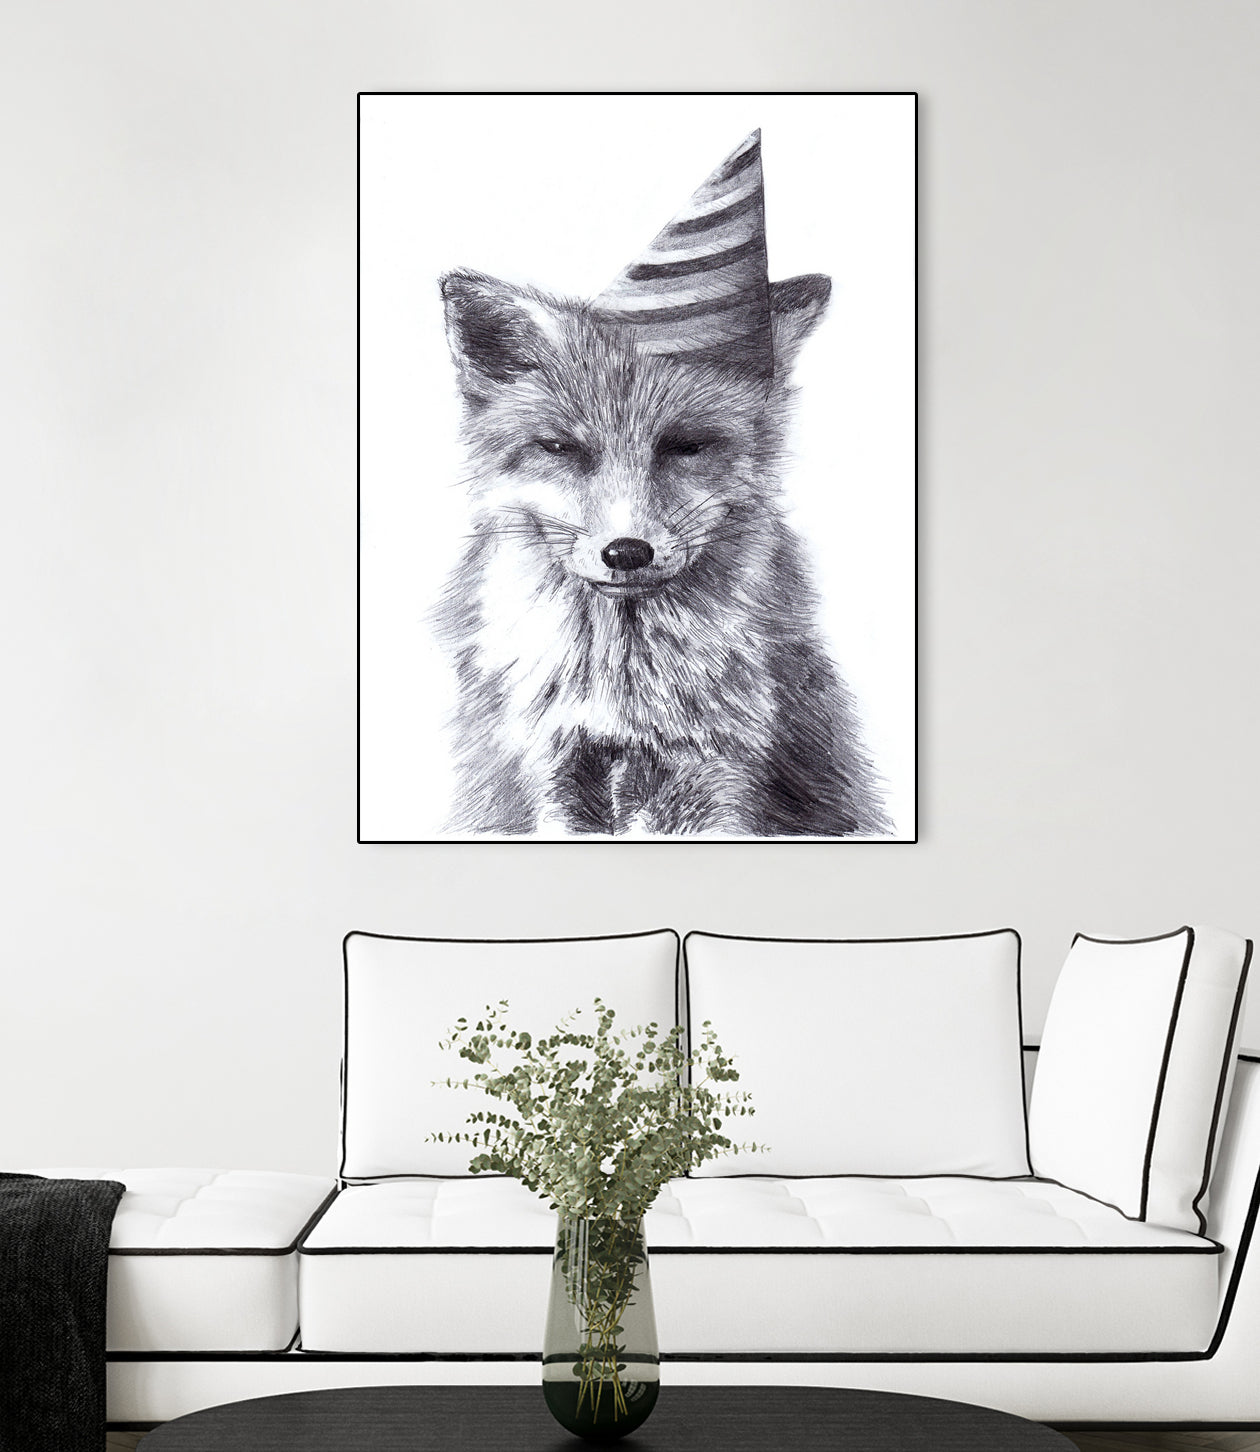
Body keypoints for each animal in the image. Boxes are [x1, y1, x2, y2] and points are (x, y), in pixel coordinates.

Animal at [431, 268, 890, 837]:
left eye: (686, 446)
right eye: (559, 448)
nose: (627, 552)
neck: (623, 694)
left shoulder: (720, 771)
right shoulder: (548, 770)